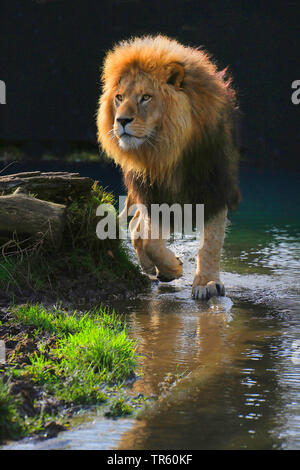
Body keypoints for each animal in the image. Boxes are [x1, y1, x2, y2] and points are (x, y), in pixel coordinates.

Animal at [97, 36, 240, 302]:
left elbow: (211, 242)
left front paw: (207, 282)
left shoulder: (214, 187)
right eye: (119, 97)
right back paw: (151, 268)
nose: (121, 121)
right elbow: (151, 241)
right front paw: (173, 268)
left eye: (145, 97)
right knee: (136, 227)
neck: (167, 150)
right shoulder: (152, 192)